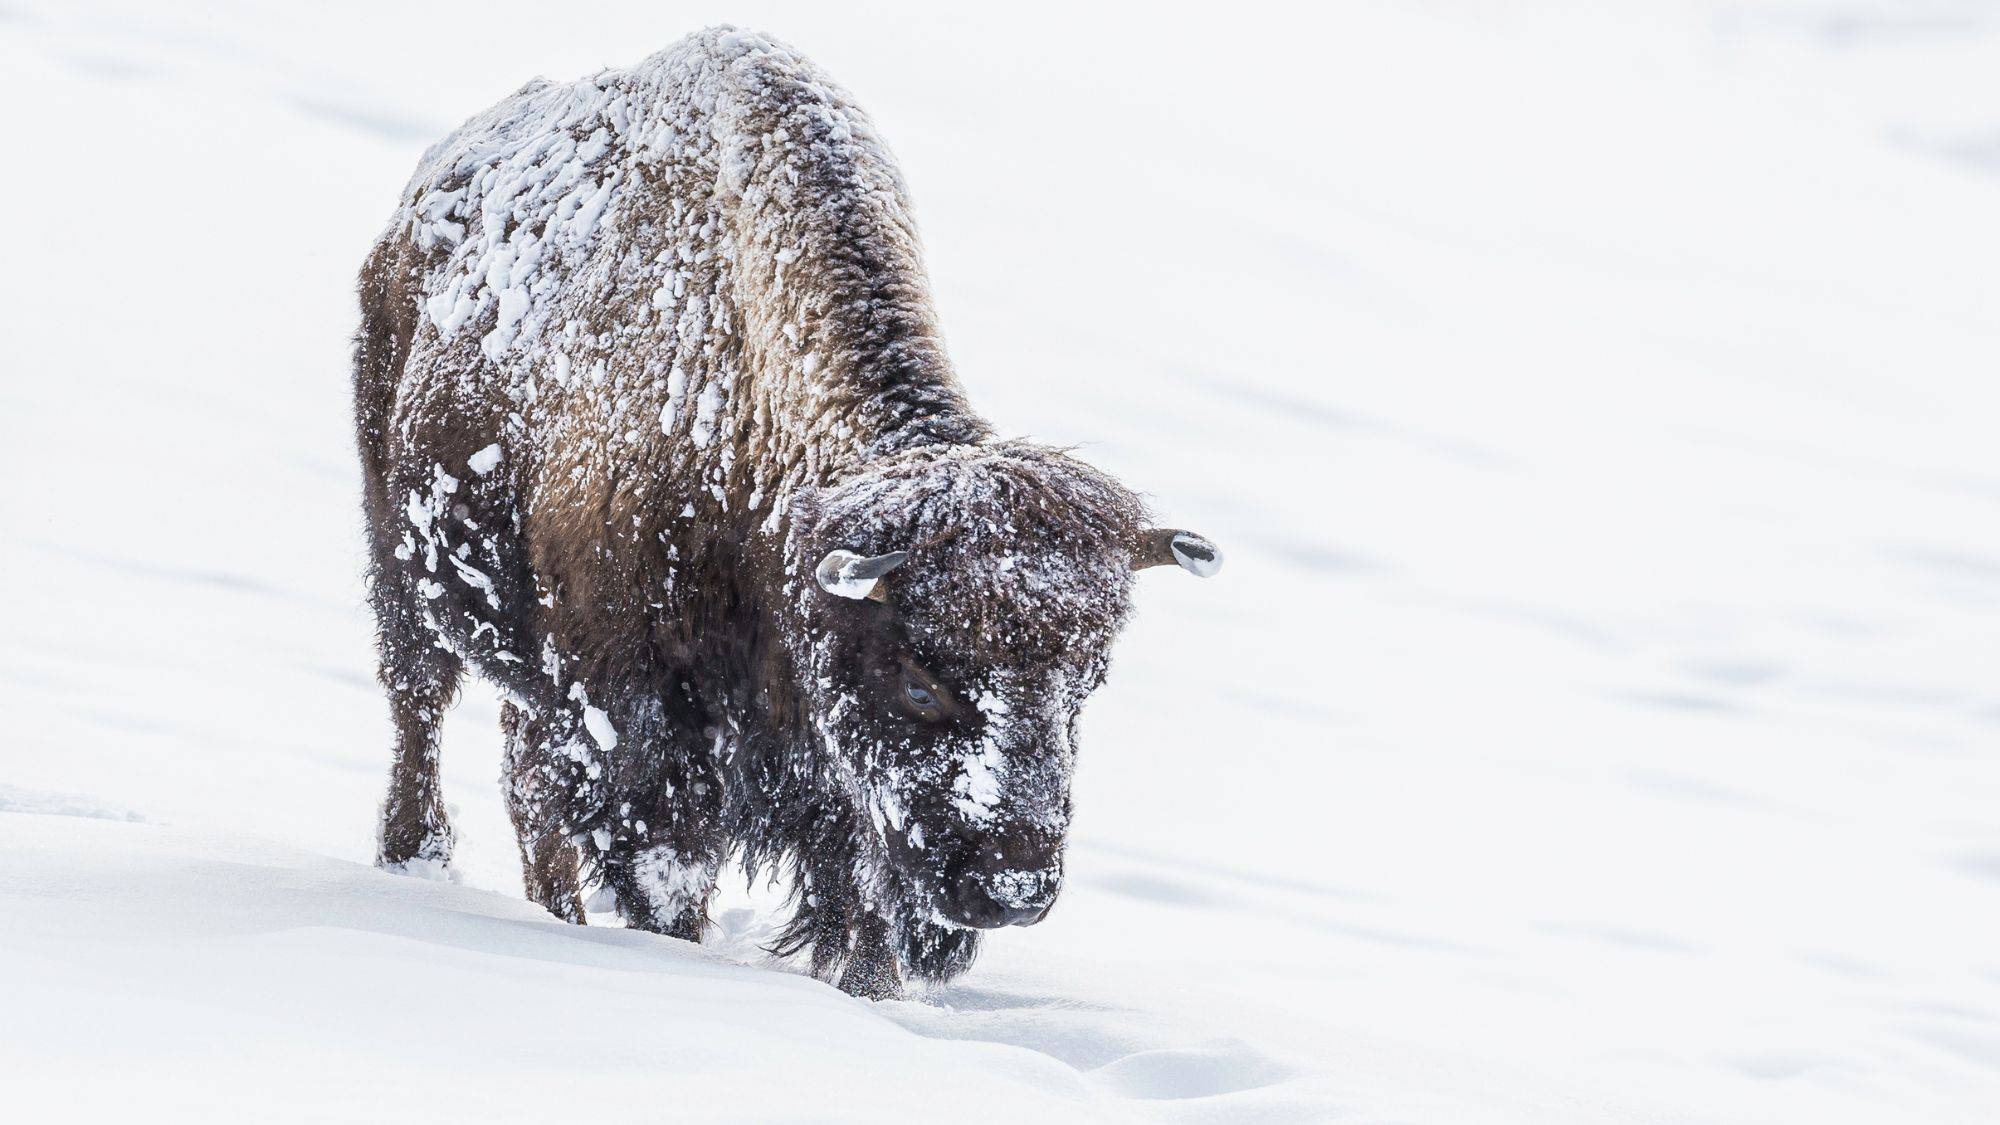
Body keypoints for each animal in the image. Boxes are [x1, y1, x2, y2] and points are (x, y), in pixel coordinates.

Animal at [356, 26, 1216, 992]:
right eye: (919, 680)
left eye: (1087, 683)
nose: (1014, 889)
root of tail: (420, 199)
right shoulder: (642, 727)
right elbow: (670, 871)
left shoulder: (839, 794)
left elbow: (864, 912)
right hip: (398, 559)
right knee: (421, 707)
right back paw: (415, 855)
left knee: (524, 782)